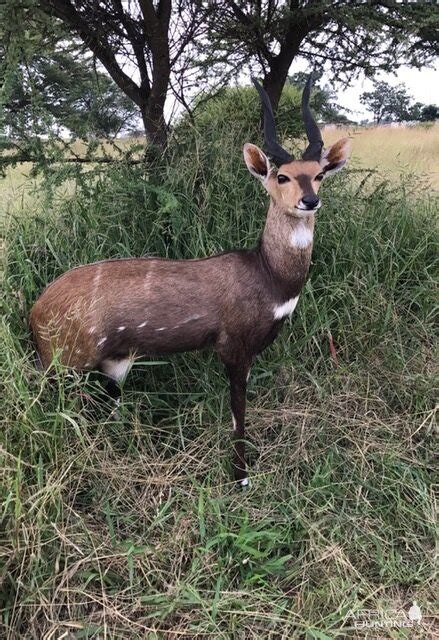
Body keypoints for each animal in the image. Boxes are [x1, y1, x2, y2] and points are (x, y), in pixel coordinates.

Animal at [30, 76, 350, 484]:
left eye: (319, 174)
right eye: (282, 176)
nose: (310, 201)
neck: (269, 276)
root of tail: (35, 311)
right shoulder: (233, 349)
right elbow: (238, 414)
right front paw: (240, 477)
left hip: (110, 365)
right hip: (64, 364)